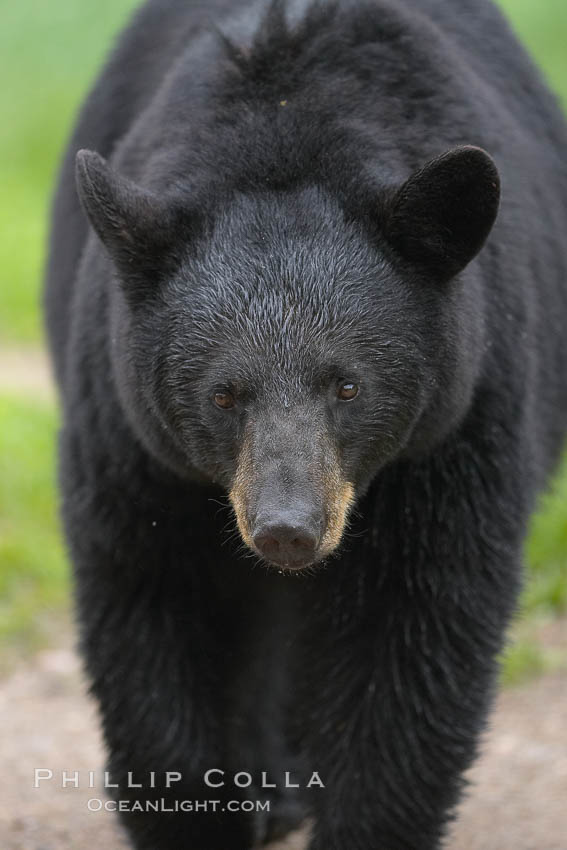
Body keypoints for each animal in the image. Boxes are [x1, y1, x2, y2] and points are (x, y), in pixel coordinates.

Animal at [43, 1, 567, 848]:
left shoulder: (458, 424)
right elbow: (156, 606)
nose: (287, 528)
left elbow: (411, 633)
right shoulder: (129, 432)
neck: (285, 128)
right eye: (224, 395)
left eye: (347, 386)